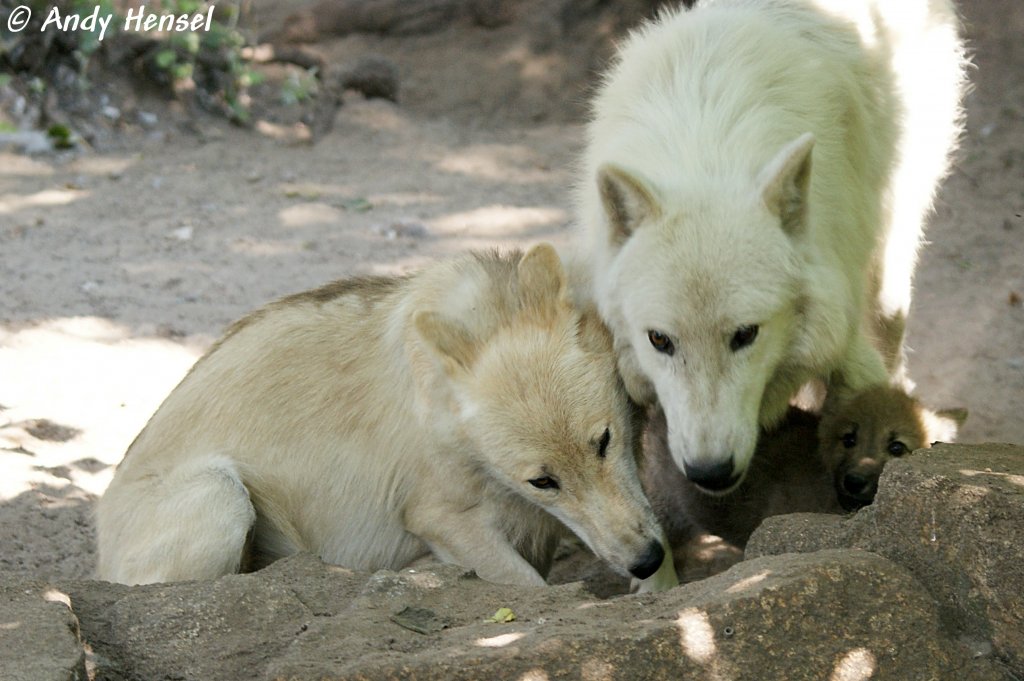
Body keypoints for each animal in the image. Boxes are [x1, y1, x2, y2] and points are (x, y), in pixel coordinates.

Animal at [97, 245, 671, 589]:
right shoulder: (441, 519)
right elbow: (529, 589)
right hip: (221, 495)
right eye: (543, 481)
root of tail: (100, 548)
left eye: (604, 441)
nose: (646, 560)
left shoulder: (538, 528)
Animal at [581, 0, 962, 489]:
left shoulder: (846, 339)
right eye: (660, 340)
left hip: (889, 261)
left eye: (746, 334)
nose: (710, 473)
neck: (705, 146)